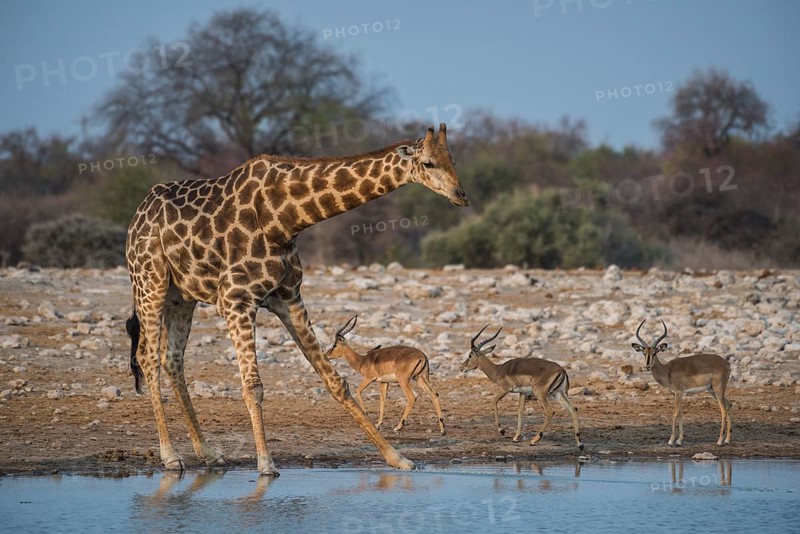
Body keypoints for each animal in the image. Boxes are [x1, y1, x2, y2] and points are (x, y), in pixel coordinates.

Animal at [125, 123, 468, 476]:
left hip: (182, 297)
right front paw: (266, 463)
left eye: (452, 159)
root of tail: (138, 213)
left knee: (172, 359)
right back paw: (170, 455)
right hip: (150, 282)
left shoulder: (290, 297)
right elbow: (253, 386)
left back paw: (207, 451)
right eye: (427, 162)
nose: (460, 195)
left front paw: (397, 457)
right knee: (147, 357)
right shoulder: (236, 299)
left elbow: (335, 381)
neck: (285, 219)